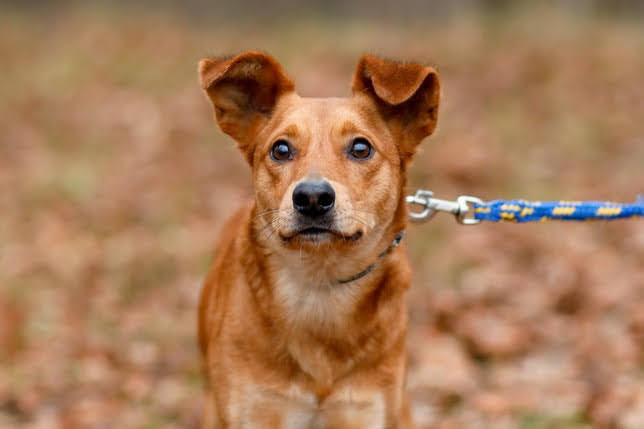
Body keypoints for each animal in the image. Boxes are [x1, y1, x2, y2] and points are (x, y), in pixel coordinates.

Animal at [196, 51, 438, 428]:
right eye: (281, 149)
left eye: (361, 148)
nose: (311, 197)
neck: (320, 282)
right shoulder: (252, 409)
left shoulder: (366, 411)